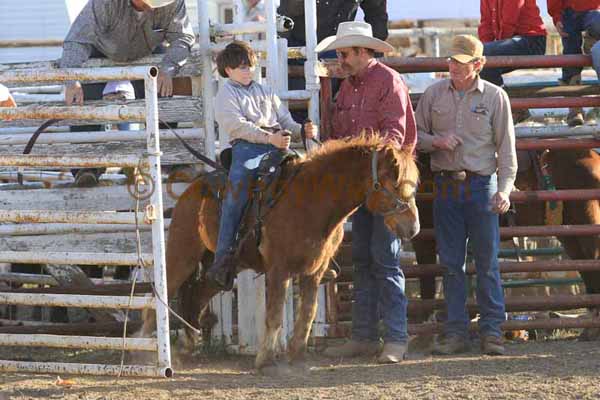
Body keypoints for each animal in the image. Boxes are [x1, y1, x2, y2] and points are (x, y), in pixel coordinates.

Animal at [138, 136, 420, 370]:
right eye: (395, 183)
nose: (414, 227)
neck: (311, 201)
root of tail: (194, 185)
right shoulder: (278, 270)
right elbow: (274, 316)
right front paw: (265, 360)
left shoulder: (315, 272)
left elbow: (307, 314)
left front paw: (297, 357)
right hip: (181, 254)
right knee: (160, 295)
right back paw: (143, 350)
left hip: (219, 270)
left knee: (195, 295)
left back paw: (187, 344)